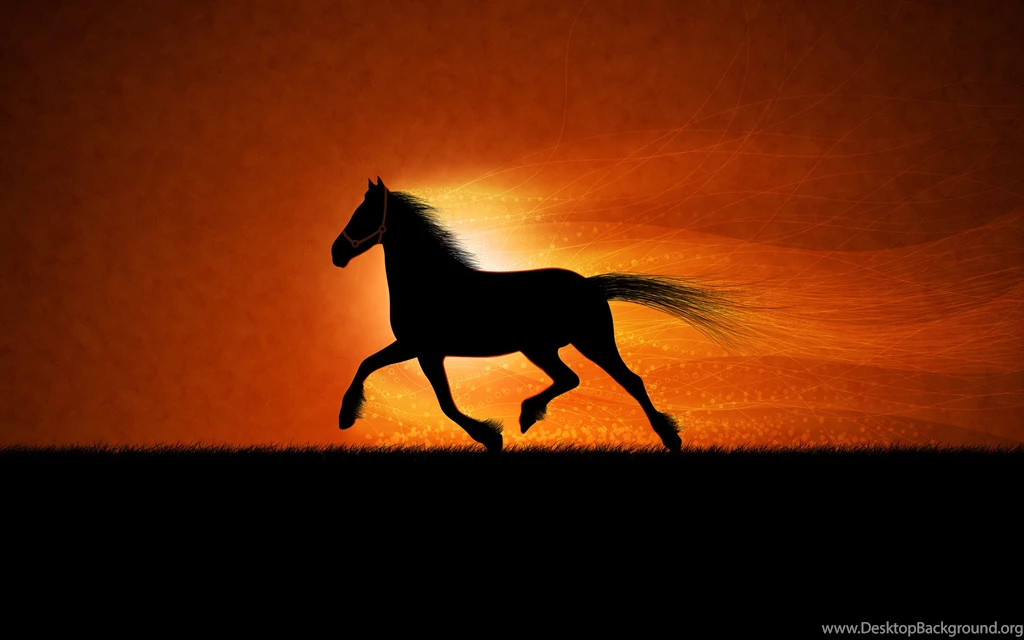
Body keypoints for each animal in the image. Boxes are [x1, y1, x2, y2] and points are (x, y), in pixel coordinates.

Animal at [332, 177, 751, 454]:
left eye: (364, 214)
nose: (336, 253)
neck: (430, 281)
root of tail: (591, 285)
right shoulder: (416, 348)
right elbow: (369, 365)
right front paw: (347, 417)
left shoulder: (424, 349)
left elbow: (442, 402)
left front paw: (491, 437)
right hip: (544, 348)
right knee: (571, 379)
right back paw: (529, 415)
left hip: (588, 342)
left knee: (628, 381)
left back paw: (670, 438)